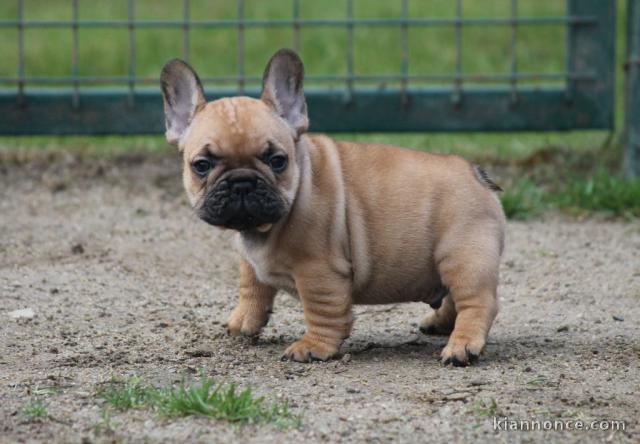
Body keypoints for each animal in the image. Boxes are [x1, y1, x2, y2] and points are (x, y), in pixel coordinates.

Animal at [160, 49, 504, 368]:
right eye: (201, 165)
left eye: (277, 160)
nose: (242, 182)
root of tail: (476, 173)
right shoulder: (250, 261)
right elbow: (252, 287)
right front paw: (243, 321)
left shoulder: (319, 271)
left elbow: (321, 311)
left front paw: (313, 347)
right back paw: (440, 324)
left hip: (463, 257)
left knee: (477, 302)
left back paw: (462, 346)